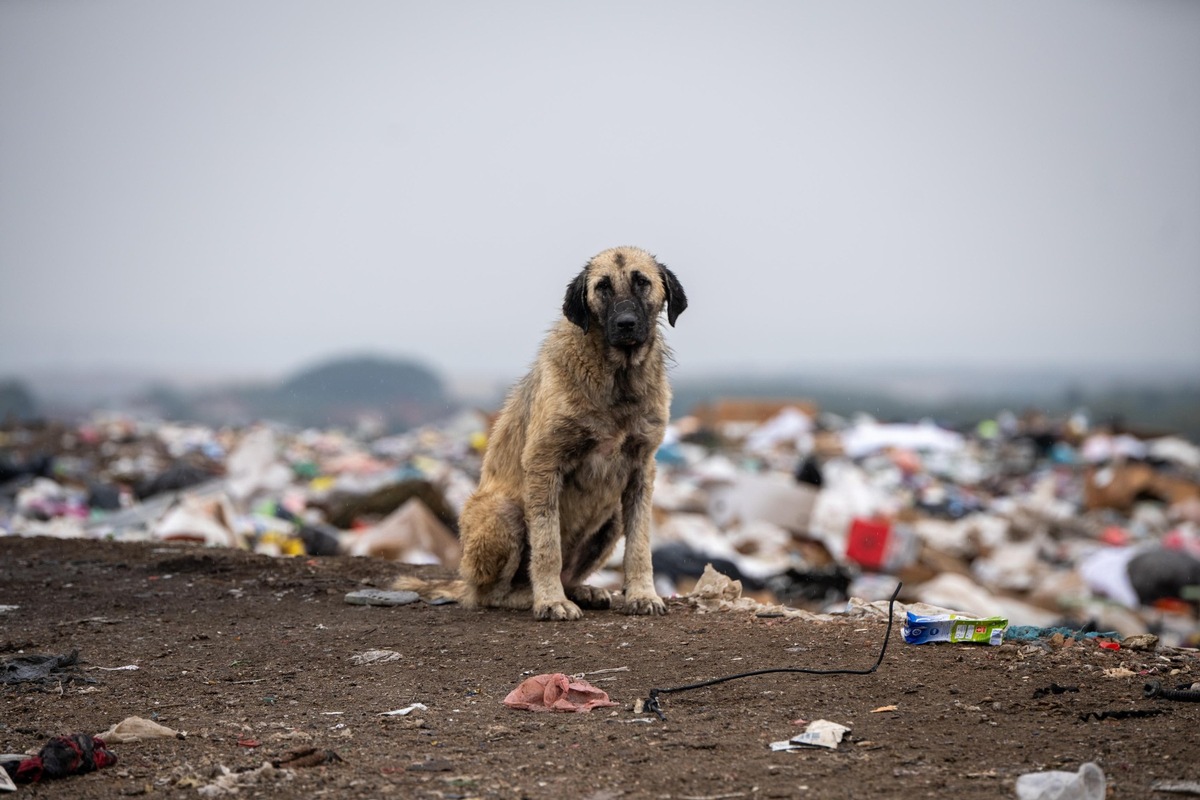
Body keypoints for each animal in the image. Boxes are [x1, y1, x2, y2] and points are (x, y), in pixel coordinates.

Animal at [400, 247, 686, 623]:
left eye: (642, 282)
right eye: (603, 287)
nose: (626, 324)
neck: (617, 377)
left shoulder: (641, 470)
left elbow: (639, 545)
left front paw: (641, 594)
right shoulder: (544, 464)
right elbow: (547, 545)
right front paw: (550, 601)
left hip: (611, 517)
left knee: (571, 571)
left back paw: (581, 590)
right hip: (503, 512)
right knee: (490, 593)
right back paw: (531, 595)